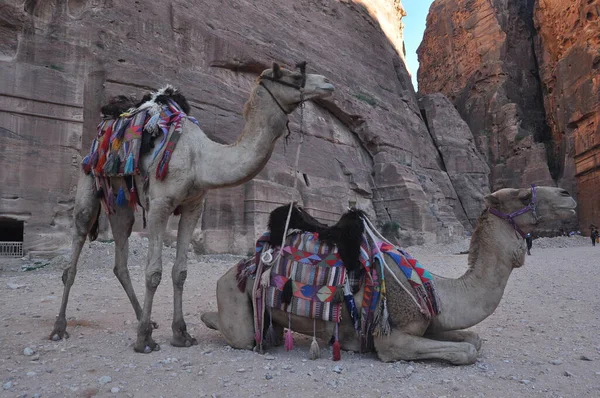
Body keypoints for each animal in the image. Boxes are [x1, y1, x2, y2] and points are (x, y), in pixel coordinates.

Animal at [49, 63, 336, 354]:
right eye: (294, 76)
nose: (327, 83)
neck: (200, 160)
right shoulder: (160, 204)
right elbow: (153, 272)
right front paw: (144, 341)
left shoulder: (193, 206)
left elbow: (180, 272)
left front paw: (181, 334)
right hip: (88, 176)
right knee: (76, 244)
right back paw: (59, 328)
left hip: (120, 198)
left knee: (121, 253)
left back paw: (145, 319)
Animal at [202, 187, 576, 364]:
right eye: (523, 195)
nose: (567, 195)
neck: (438, 289)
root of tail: (238, 268)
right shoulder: (391, 337)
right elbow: (466, 352)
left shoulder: (431, 322)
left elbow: (473, 339)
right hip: (234, 298)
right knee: (238, 332)